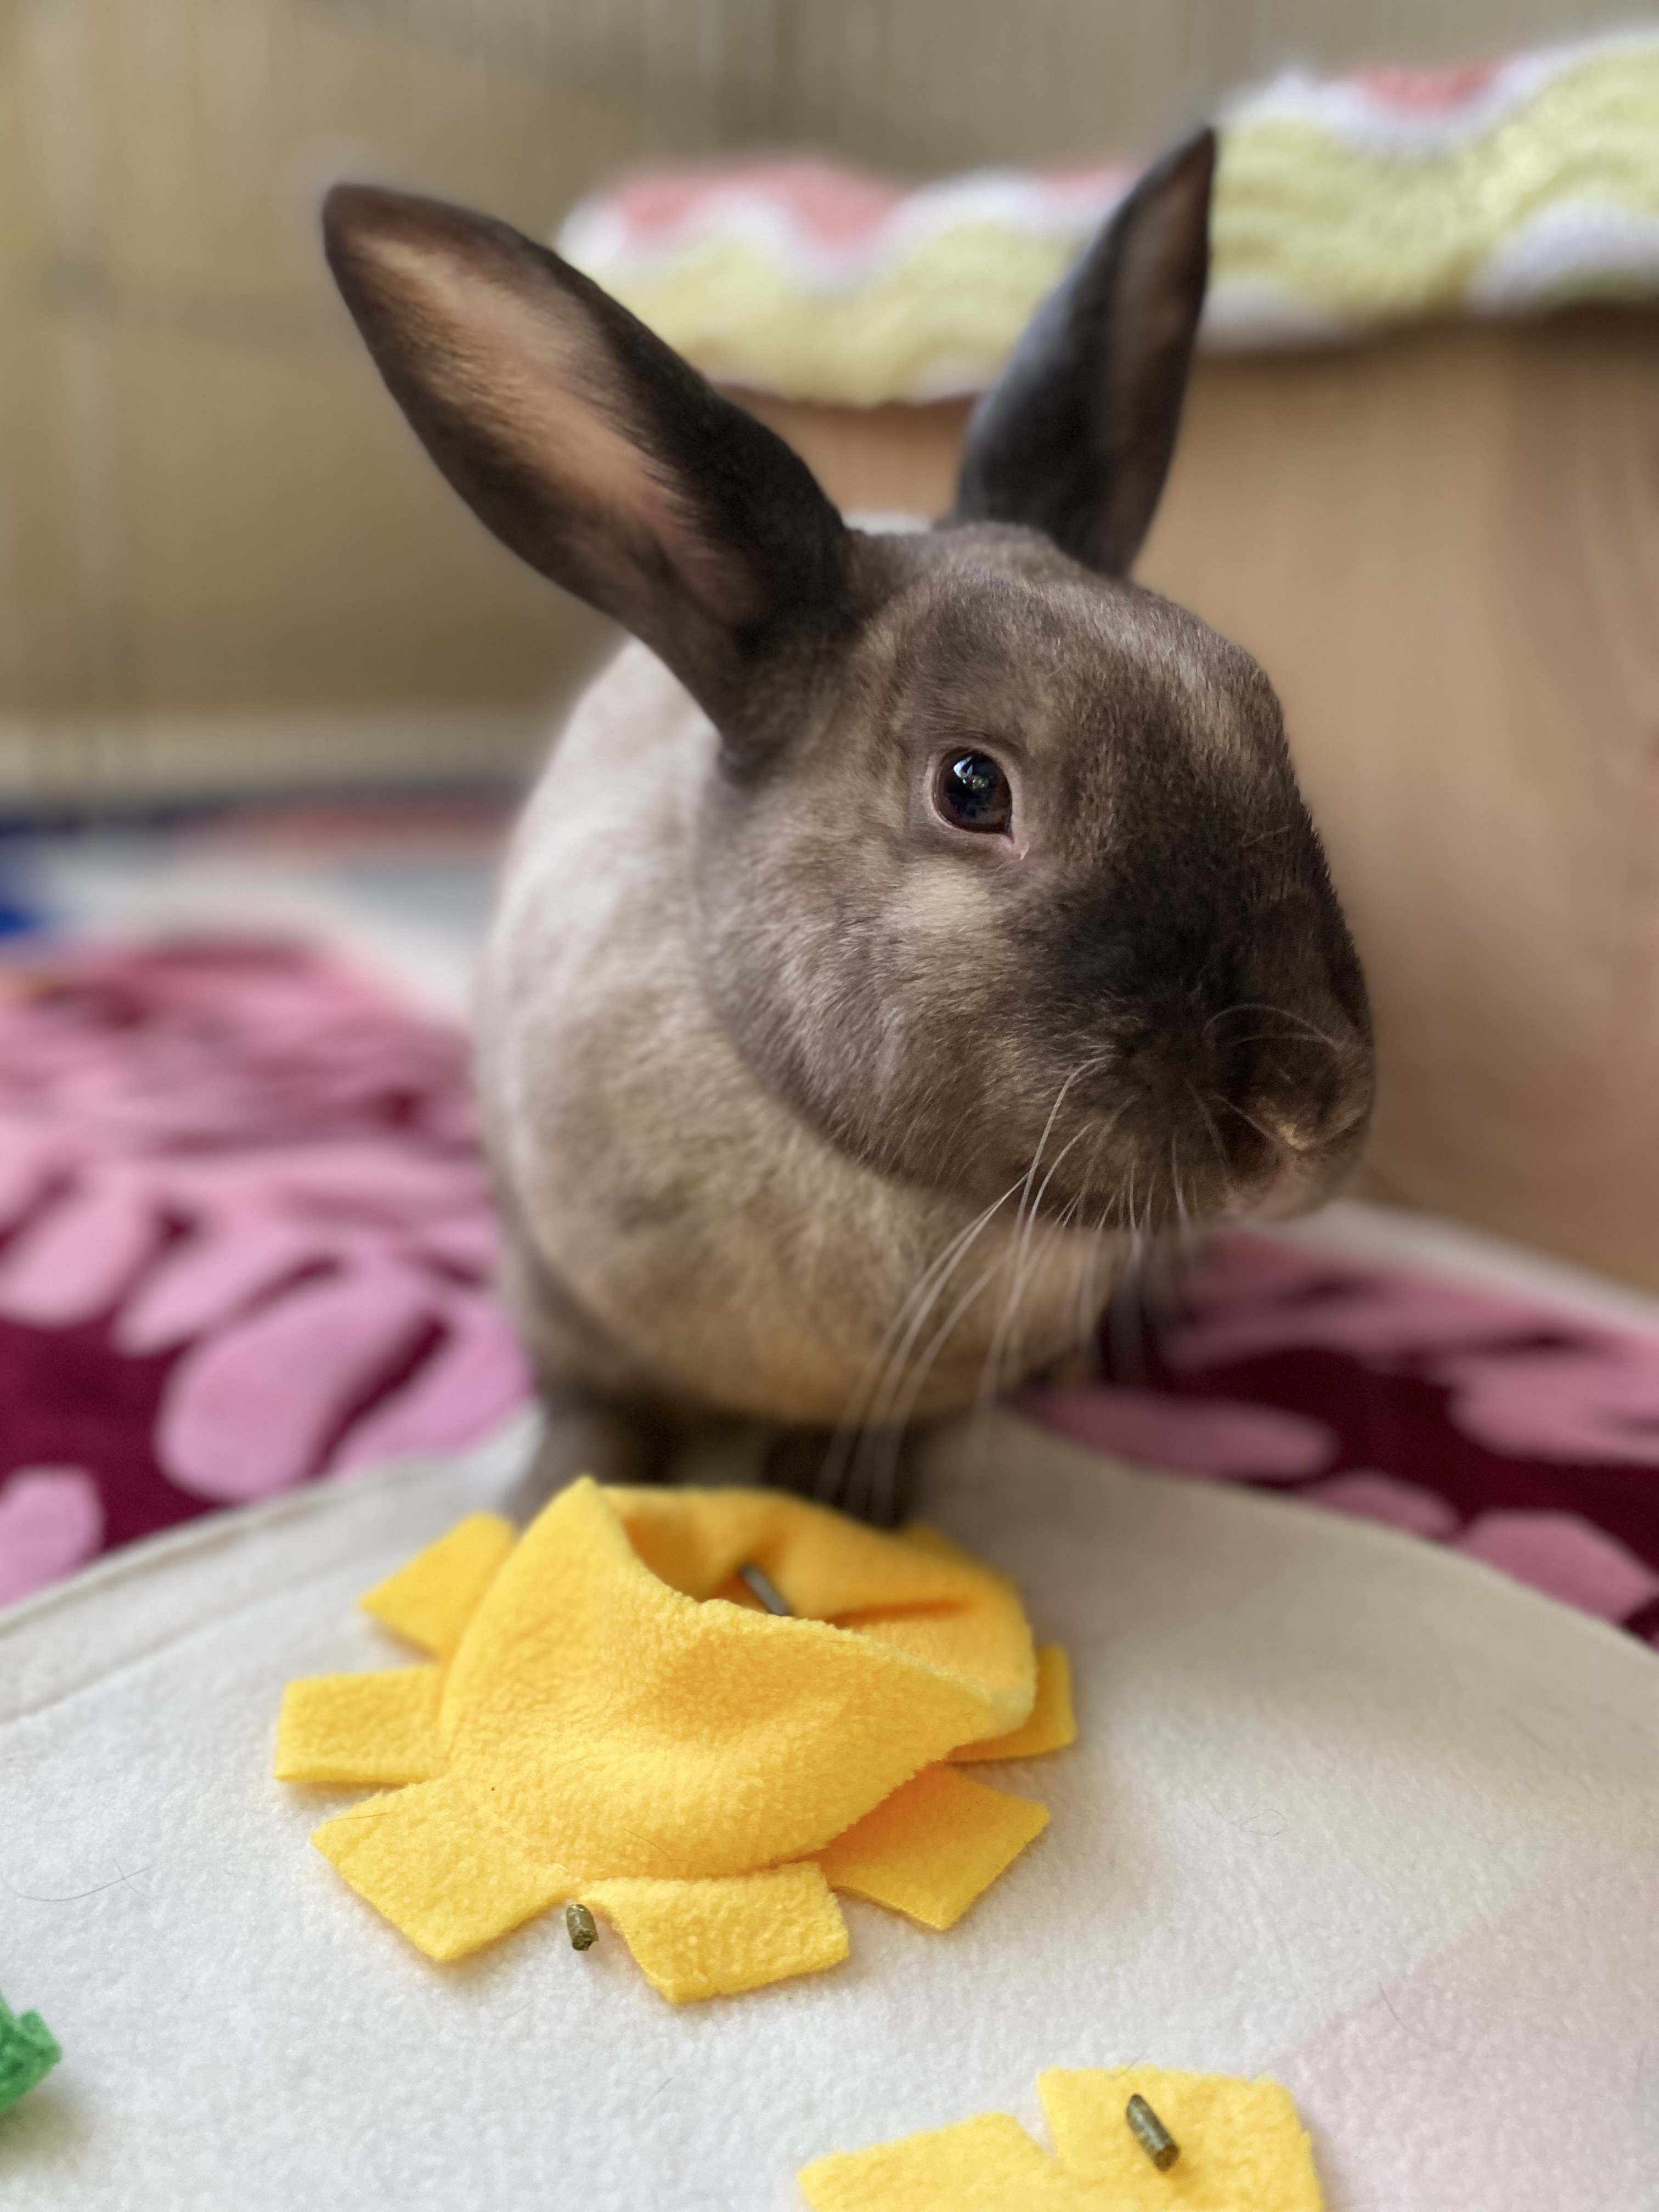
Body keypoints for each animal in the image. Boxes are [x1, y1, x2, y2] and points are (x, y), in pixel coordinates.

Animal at [322, 129, 1373, 1520]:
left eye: (1259, 703)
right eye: (973, 788)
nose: (1311, 1117)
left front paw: (844, 1508)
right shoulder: (559, 1299)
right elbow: (593, 1417)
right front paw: (544, 1508)